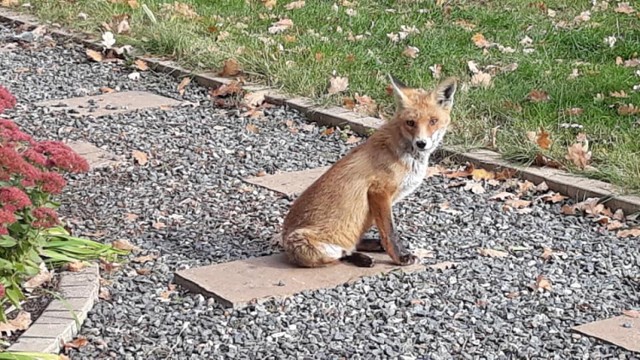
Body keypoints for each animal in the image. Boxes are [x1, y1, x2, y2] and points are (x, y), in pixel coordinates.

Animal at [280, 75, 456, 268]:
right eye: (410, 123)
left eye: (433, 121)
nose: (421, 143)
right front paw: (400, 257)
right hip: (304, 245)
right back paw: (362, 257)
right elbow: (389, 233)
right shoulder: (378, 192)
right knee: (342, 253)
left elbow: (385, 231)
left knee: (352, 244)